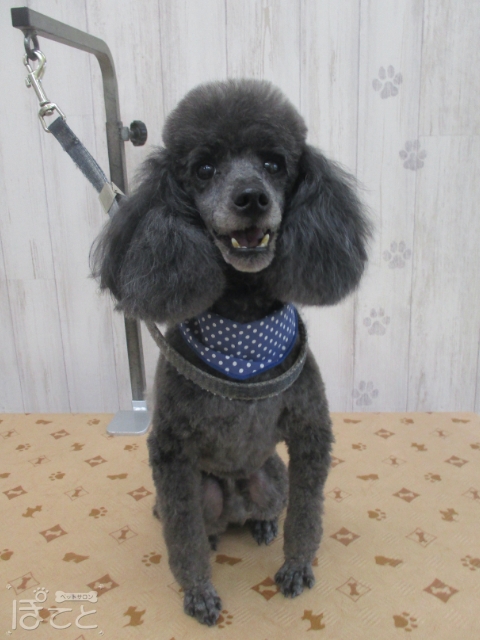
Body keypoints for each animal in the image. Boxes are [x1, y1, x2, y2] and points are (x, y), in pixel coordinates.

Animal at [92, 78, 370, 626]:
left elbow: (307, 513)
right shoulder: (171, 451)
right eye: (203, 169)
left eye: (274, 163)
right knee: (196, 522)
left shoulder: (310, 434)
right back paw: (217, 534)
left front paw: (297, 567)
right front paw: (198, 591)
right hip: (201, 490)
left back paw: (262, 525)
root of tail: (239, 494)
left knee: (271, 506)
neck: (243, 332)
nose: (251, 198)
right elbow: (183, 537)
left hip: (273, 476)